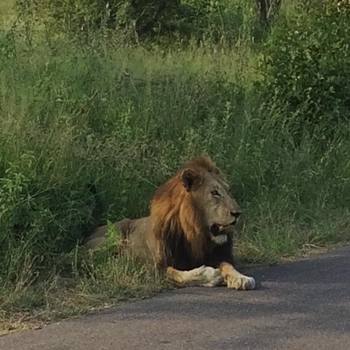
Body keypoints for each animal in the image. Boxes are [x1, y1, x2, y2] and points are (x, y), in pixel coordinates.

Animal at [84, 157, 254, 292]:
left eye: (228, 191)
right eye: (214, 193)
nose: (238, 213)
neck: (195, 233)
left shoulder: (217, 255)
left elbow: (228, 265)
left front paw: (241, 278)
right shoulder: (154, 267)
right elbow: (176, 273)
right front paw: (211, 275)